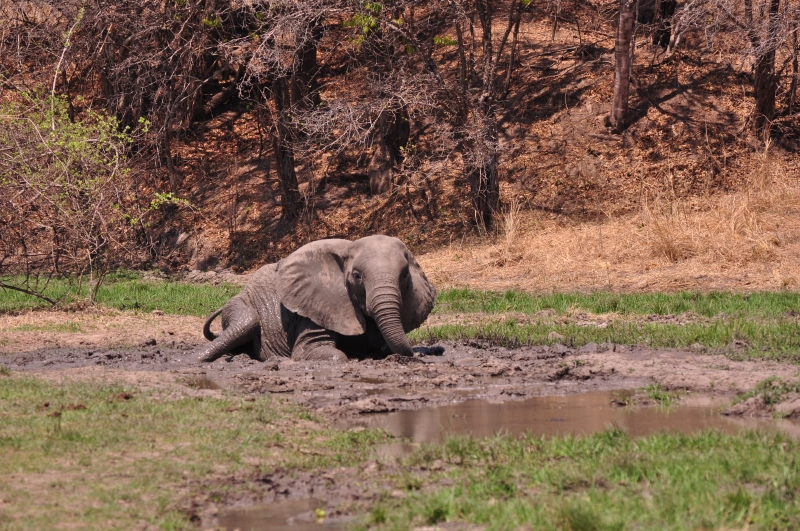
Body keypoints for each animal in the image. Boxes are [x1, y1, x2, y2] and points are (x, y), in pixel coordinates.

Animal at [194, 235, 437, 363]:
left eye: (404, 275)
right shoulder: (316, 307)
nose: (416, 356)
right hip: (240, 303)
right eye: (356, 276)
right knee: (246, 324)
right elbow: (320, 352)